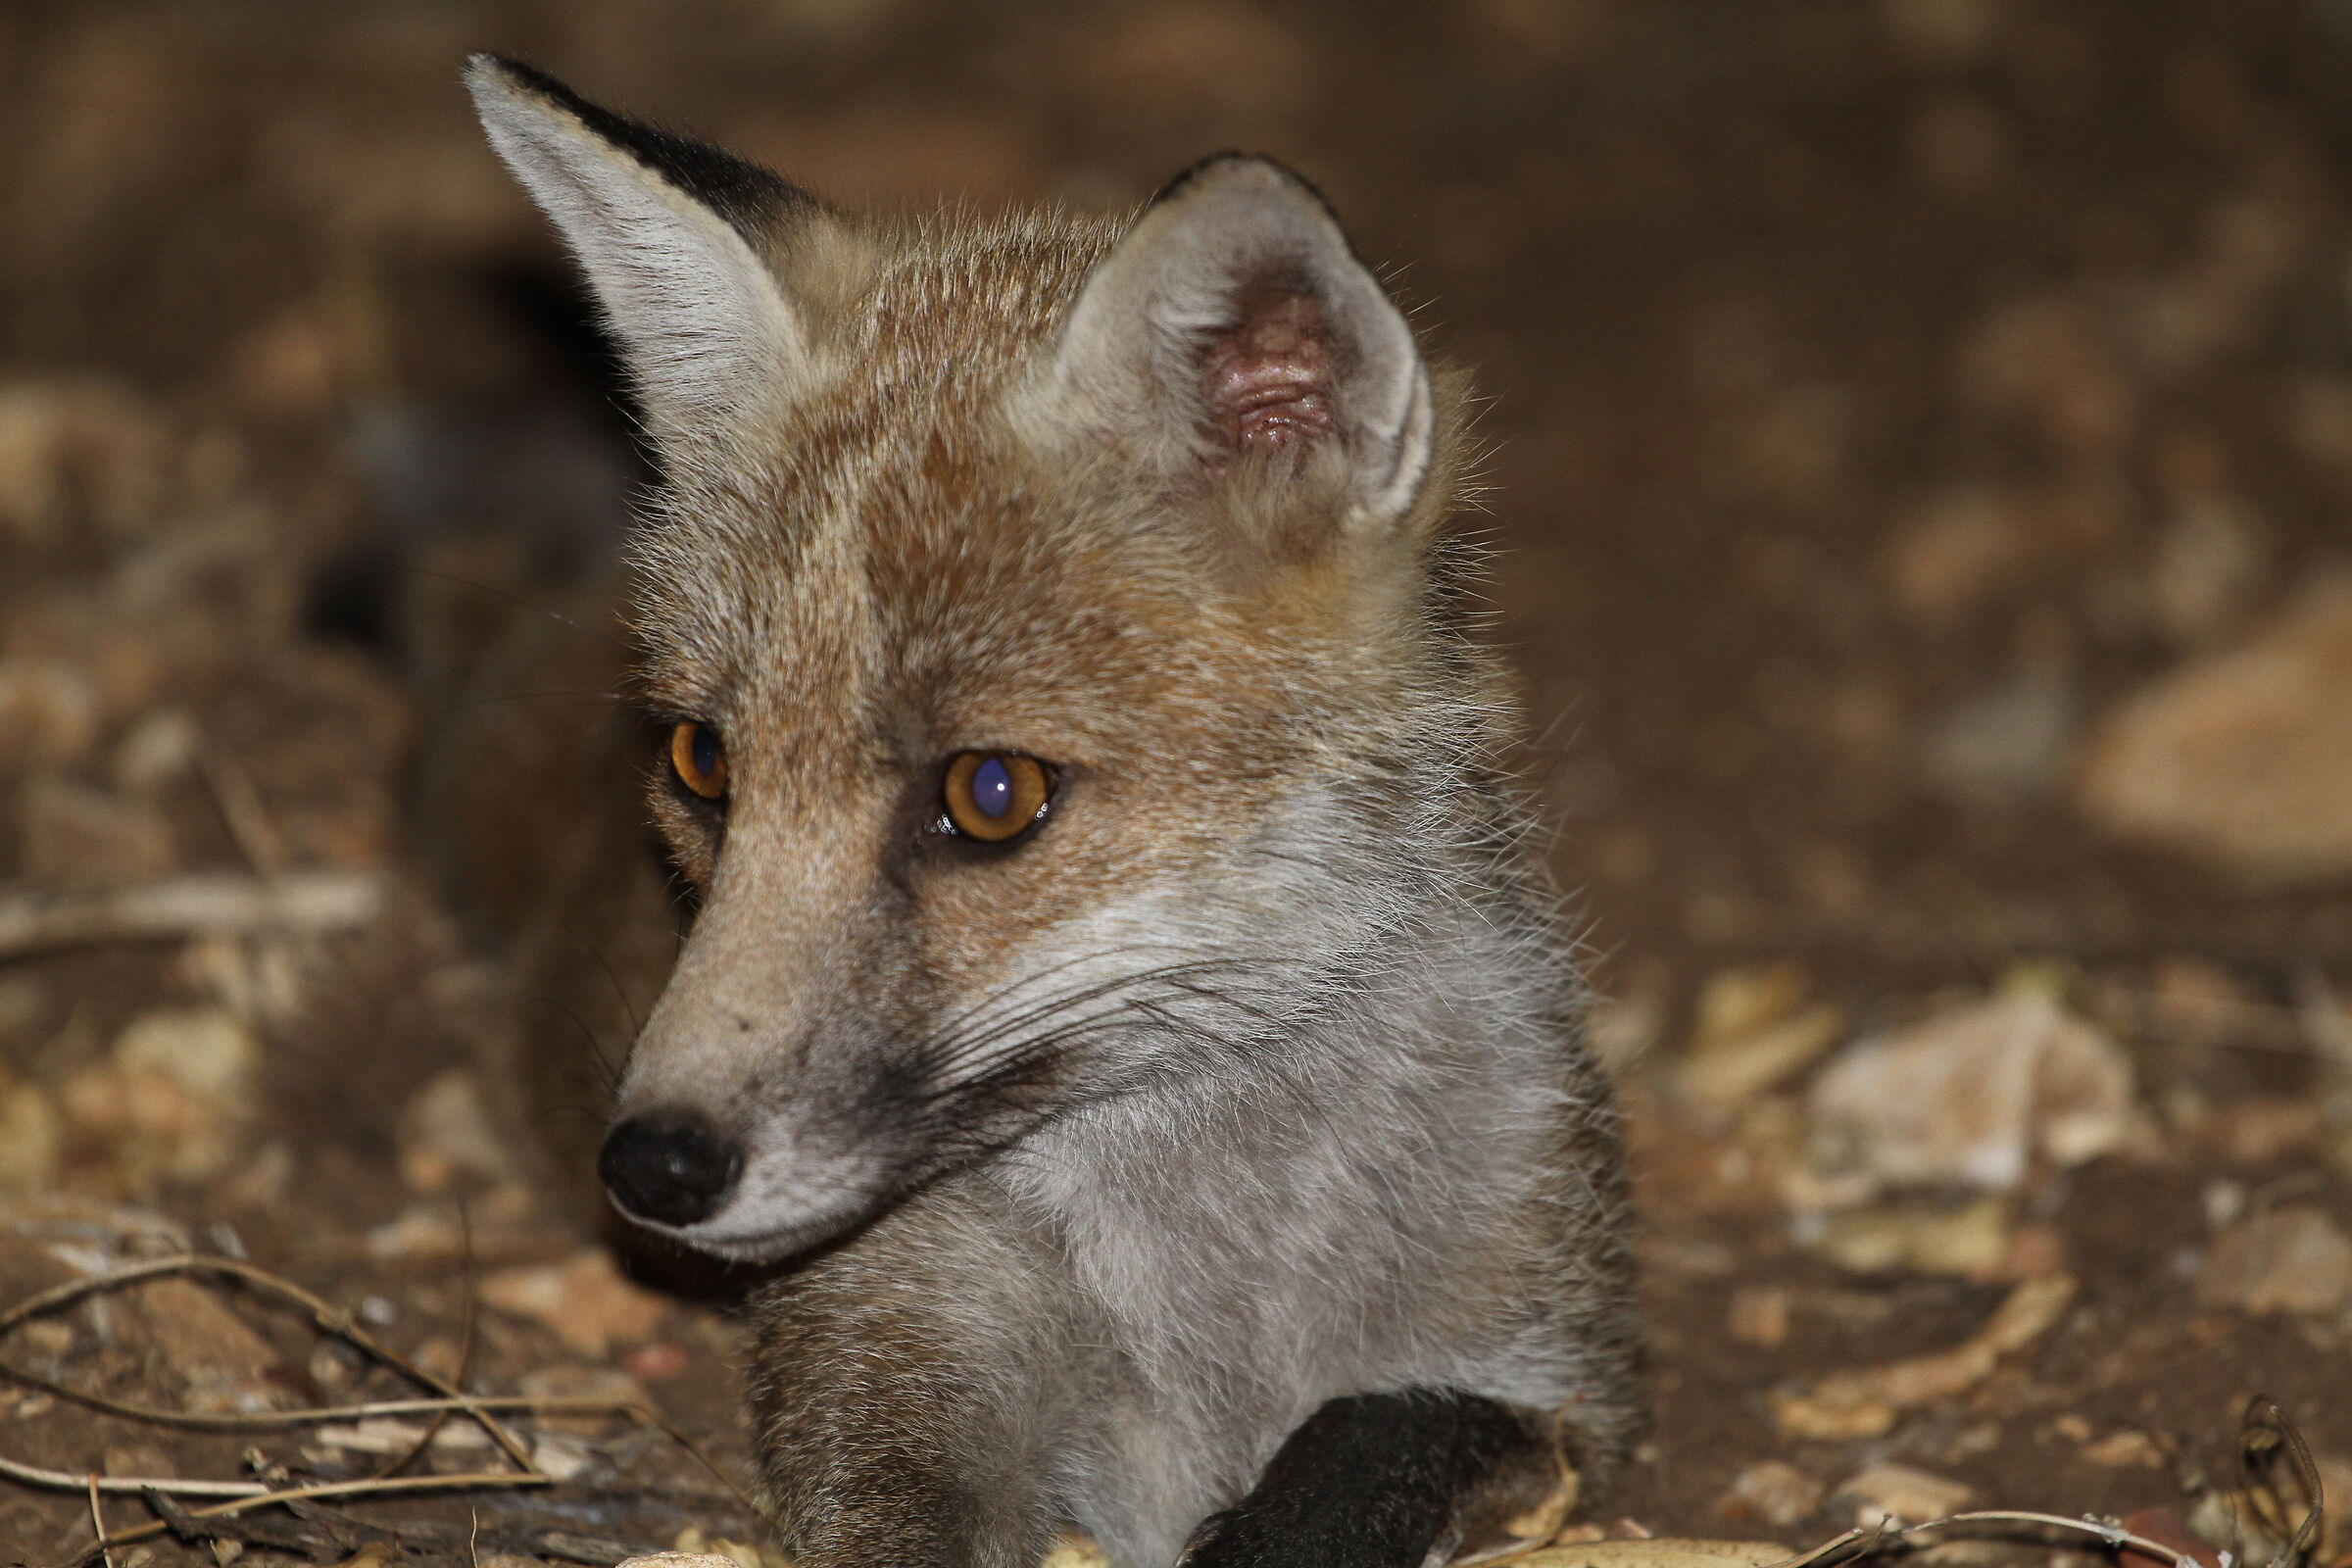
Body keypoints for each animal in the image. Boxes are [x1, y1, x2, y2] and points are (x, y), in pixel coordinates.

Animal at [463, 54, 1641, 1568]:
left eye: (992, 795)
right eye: (703, 763)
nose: (657, 1166)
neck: (1212, 1288)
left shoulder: (1554, 1374)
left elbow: (1378, 1443)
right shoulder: (878, 1367)